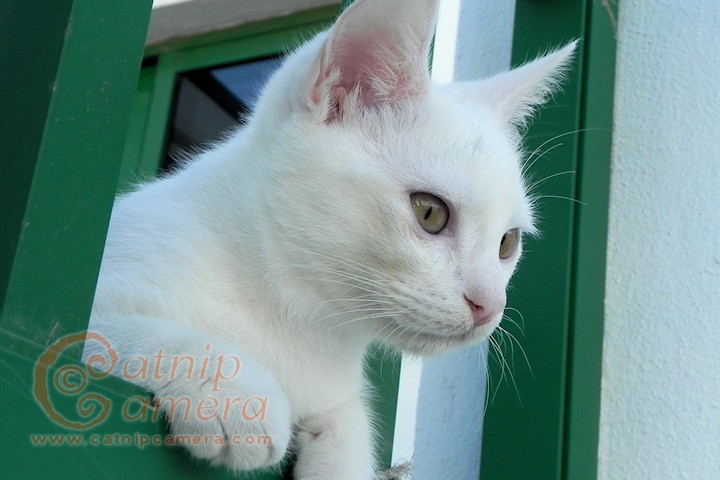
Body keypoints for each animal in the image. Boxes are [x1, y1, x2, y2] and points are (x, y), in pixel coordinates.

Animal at [84, 0, 575, 478]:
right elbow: (95, 335)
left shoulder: (336, 390)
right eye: (430, 212)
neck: (295, 315)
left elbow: (348, 423)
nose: (490, 306)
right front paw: (231, 386)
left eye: (507, 243)